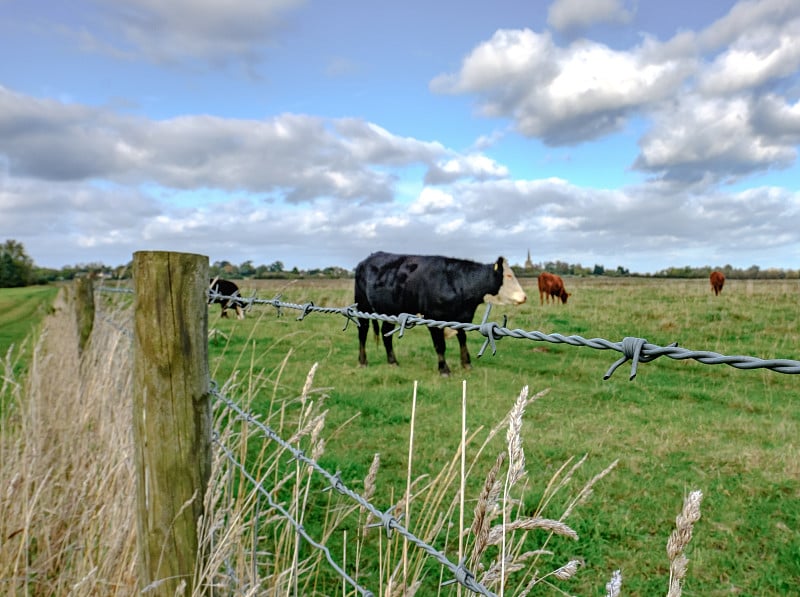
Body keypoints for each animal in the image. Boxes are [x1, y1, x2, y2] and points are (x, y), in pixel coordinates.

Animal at [354, 250, 528, 372]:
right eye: (508, 275)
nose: (524, 297)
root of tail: (367, 259)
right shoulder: (434, 319)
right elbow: (440, 345)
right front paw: (444, 369)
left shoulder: (462, 318)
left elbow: (462, 340)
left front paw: (466, 364)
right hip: (362, 306)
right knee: (363, 332)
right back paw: (362, 361)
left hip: (391, 311)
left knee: (386, 334)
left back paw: (393, 362)